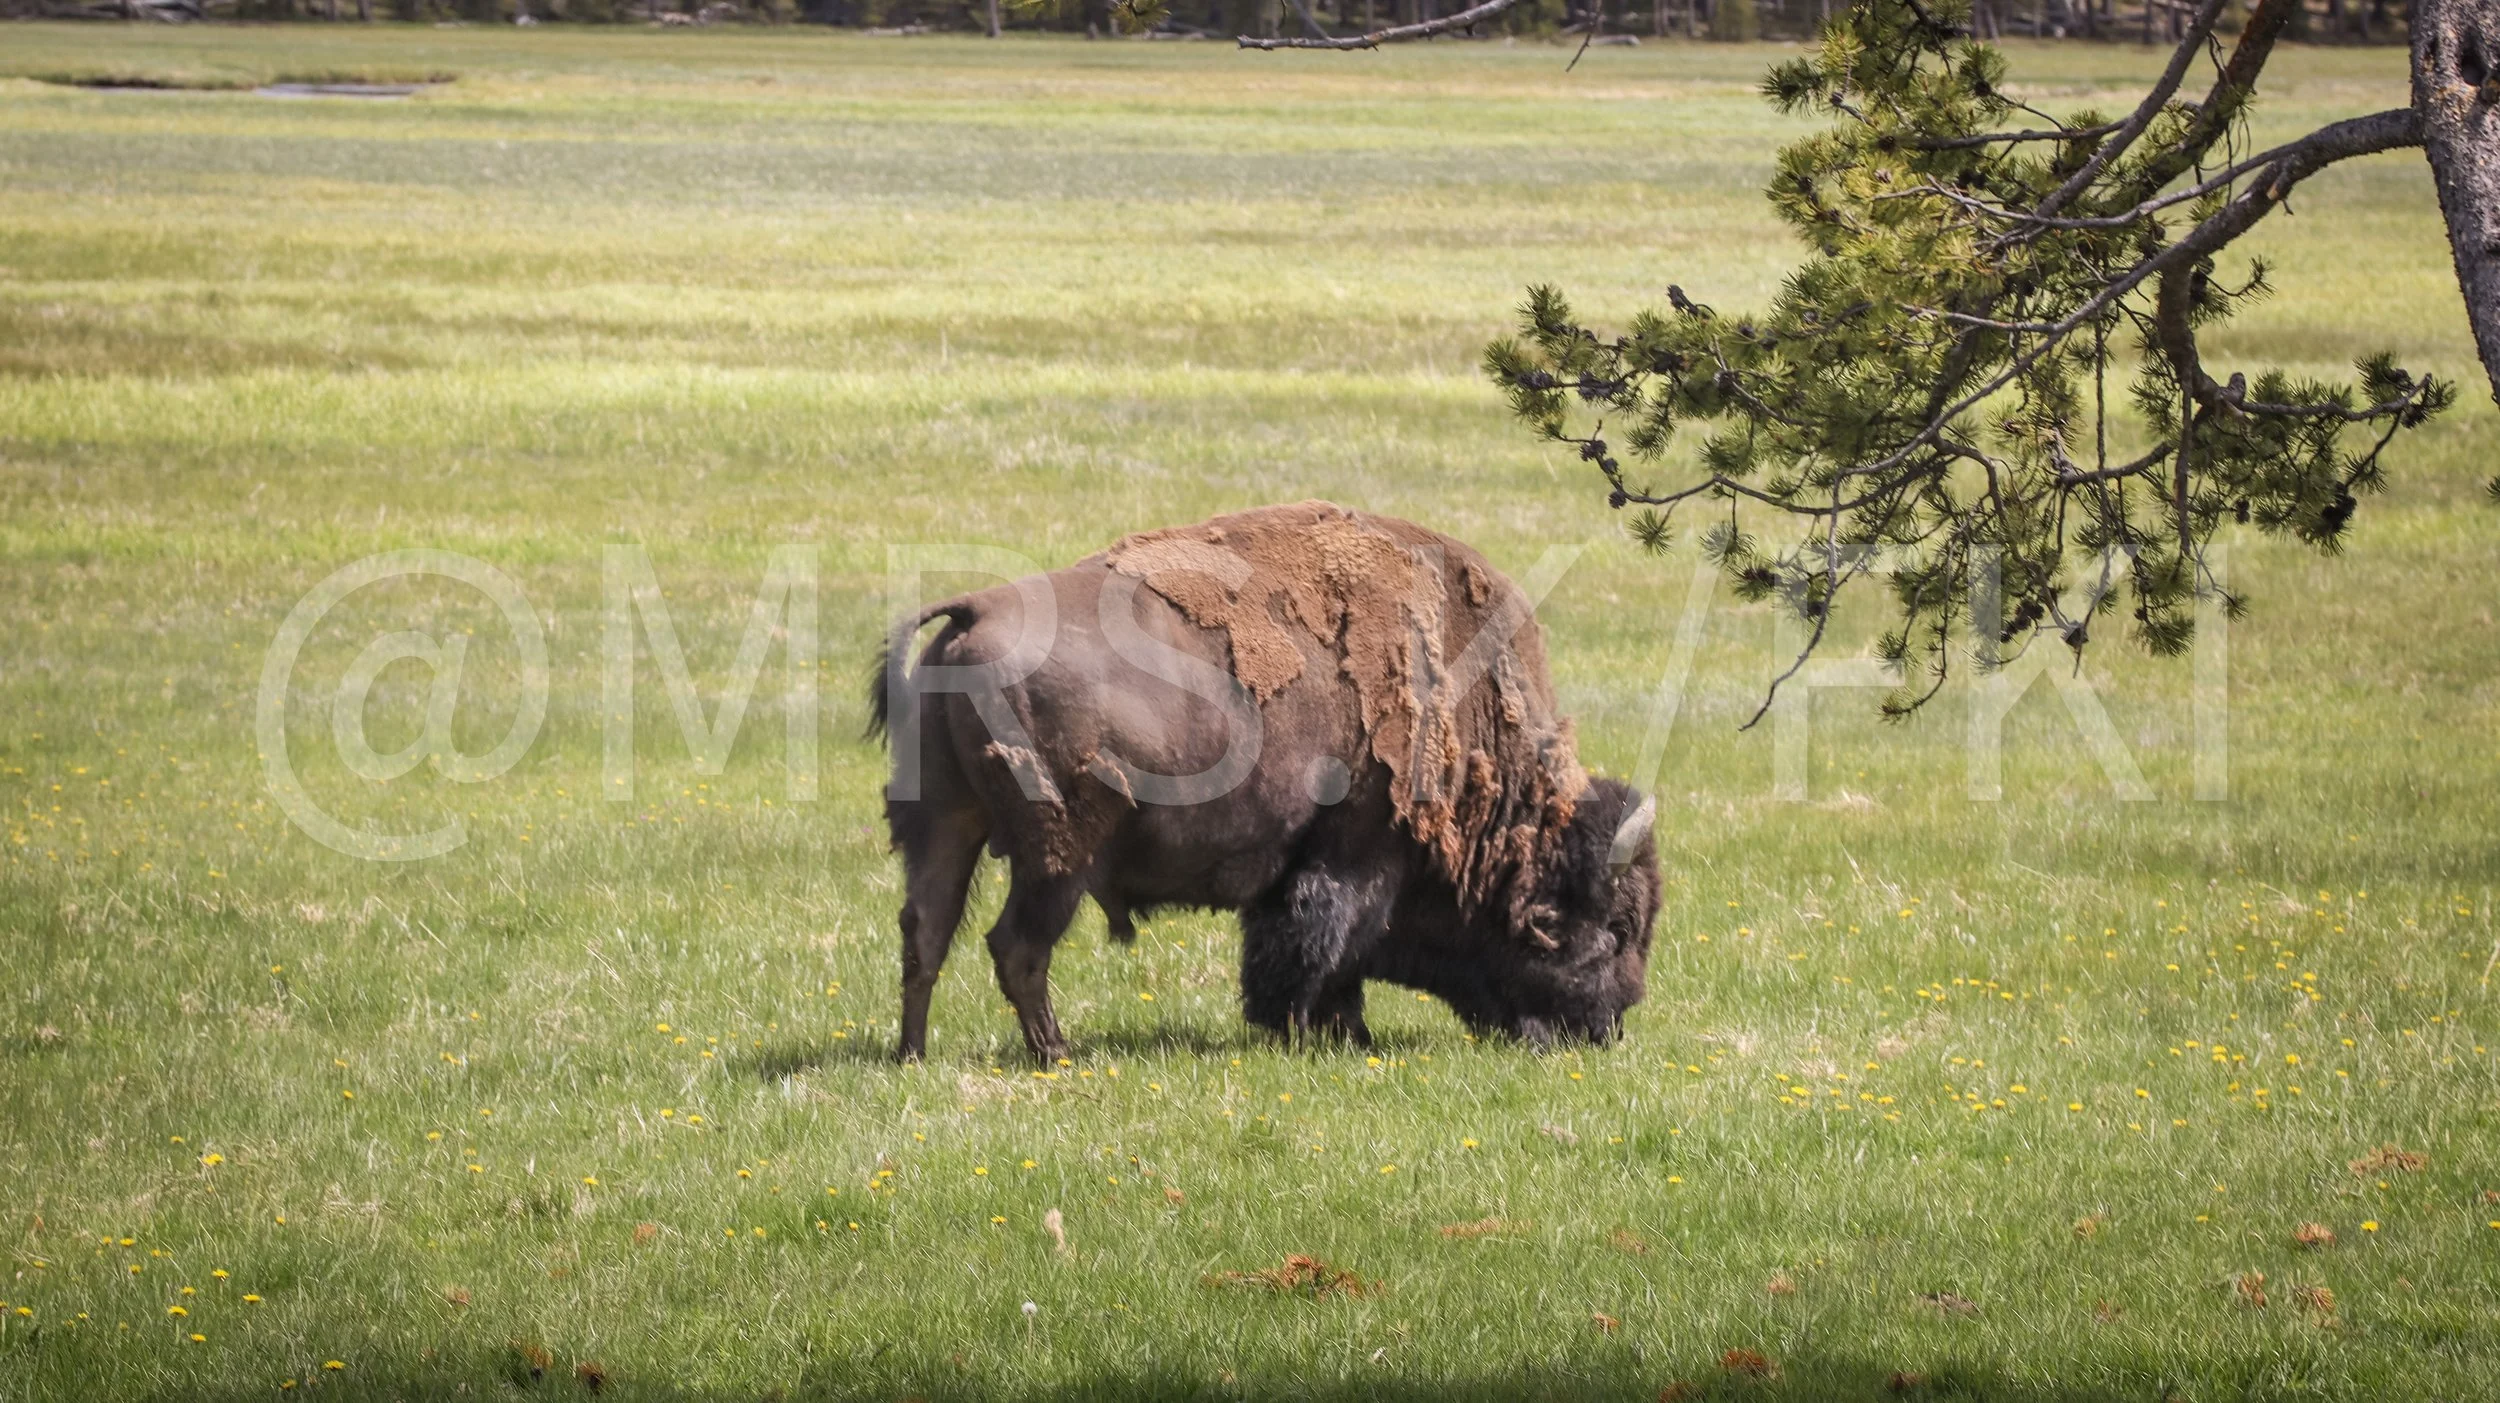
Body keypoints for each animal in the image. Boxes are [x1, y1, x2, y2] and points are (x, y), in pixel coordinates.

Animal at [869, 502, 1659, 1062]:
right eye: (1614, 929)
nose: (1610, 1027)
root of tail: (976, 608)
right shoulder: (1354, 858)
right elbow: (1322, 948)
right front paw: (1324, 1035)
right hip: (1058, 855)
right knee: (1016, 947)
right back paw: (1057, 1053)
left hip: (946, 822)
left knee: (925, 930)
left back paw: (914, 1054)